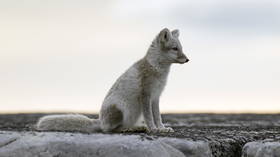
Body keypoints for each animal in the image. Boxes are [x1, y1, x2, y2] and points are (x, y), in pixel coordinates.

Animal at [36, 27, 188, 132]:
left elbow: (157, 116)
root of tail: (100, 120)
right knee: (109, 130)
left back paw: (137, 127)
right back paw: (127, 129)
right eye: (175, 49)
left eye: (181, 48)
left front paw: (162, 128)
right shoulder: (146, 95)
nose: (188, 60)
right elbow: (150, 117)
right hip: (120, 109)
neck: (156, 68)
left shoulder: (156, 97)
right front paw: (154, 129)